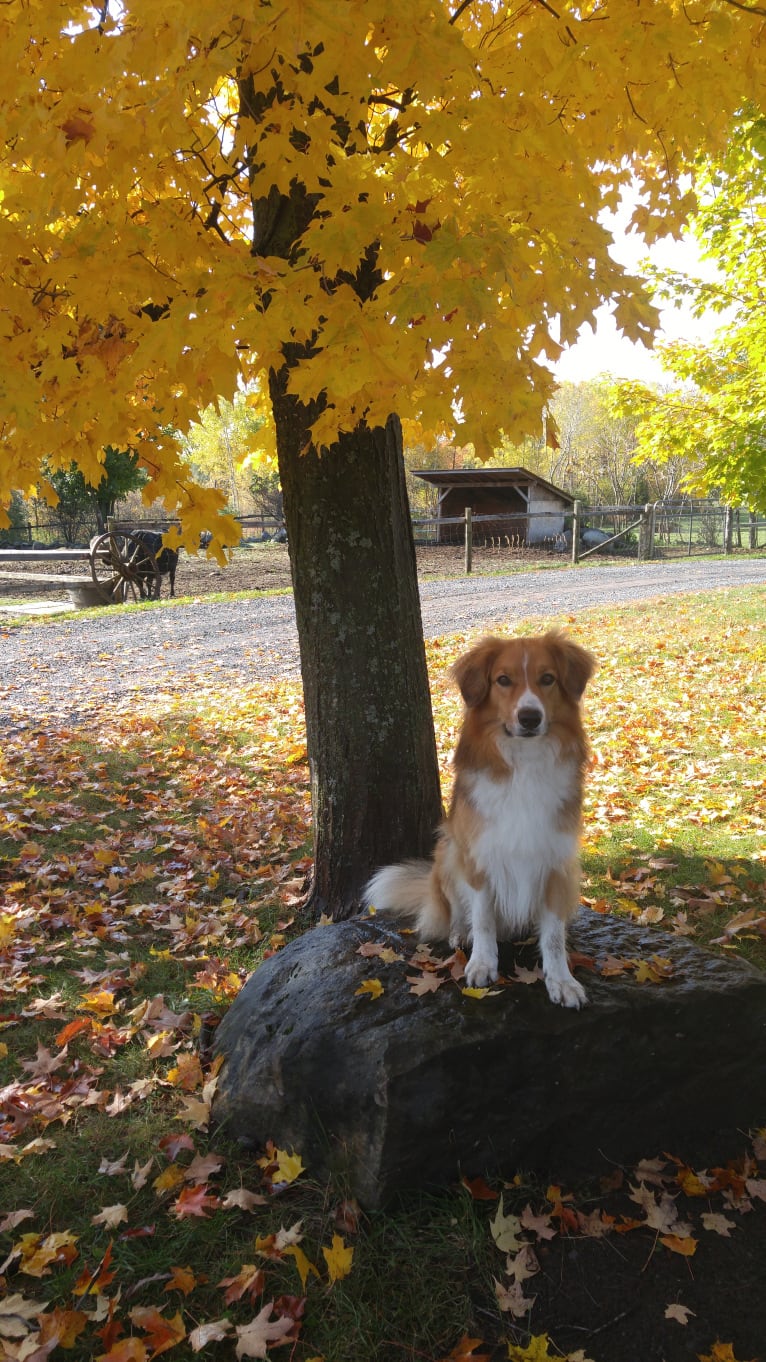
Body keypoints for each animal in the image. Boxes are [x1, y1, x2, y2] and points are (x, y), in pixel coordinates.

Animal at [362, 631, 596, 1007]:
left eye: (547, 679)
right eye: (503, 680)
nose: (530, 717)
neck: (523, 764)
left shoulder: (556, 863)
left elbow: (553, 935)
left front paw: (561, 980)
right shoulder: (479, 857)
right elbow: (483, 919)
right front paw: (483, 964)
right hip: (448, 854)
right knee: (458, 912)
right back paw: (460, 933)